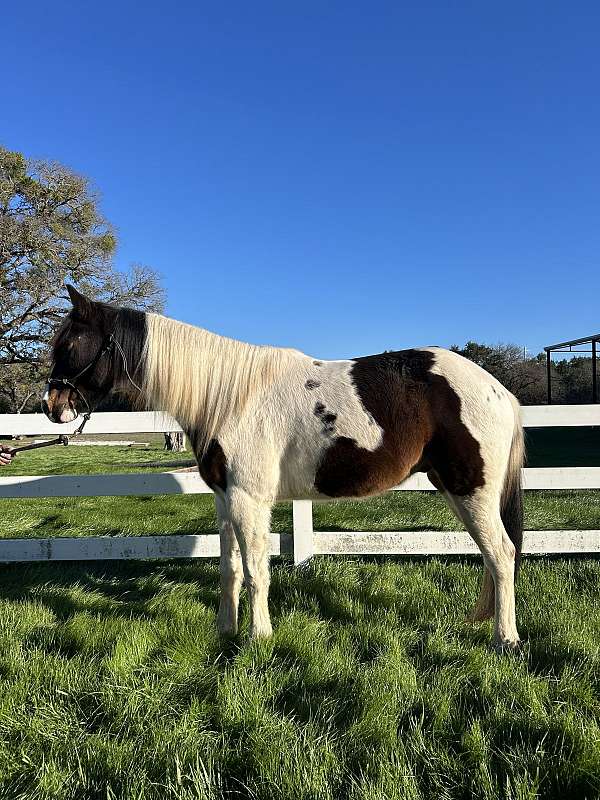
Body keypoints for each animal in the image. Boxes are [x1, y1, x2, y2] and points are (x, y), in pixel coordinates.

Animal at [42, 286, 524, 648]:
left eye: (70, 344)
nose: (51, 406)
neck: (229, 397)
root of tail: (499, 390)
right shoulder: (225, 500)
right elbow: (230, 568)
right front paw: (226, 631)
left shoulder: (249, 500)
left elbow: (257, 570)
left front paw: (259, 637)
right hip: (456, 488)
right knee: (491, 555)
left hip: (471, 489)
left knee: (502, 554)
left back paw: (506, 639)